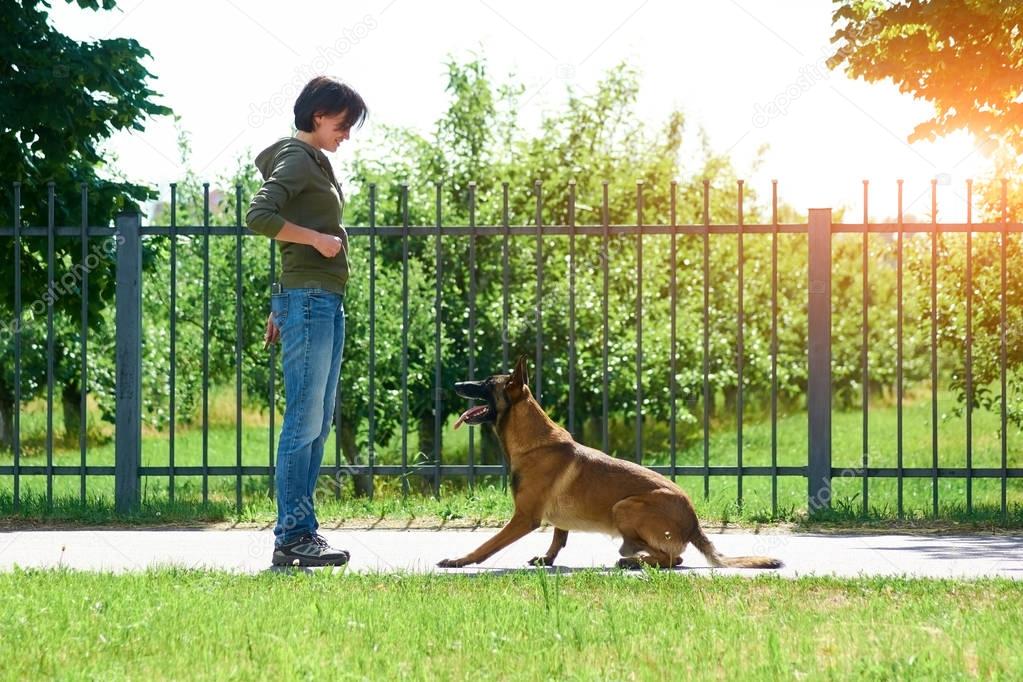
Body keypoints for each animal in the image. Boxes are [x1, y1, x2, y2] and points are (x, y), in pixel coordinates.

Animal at [437, 355, 781, 572]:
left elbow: (488, 544)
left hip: (625, 506)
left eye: (485, 383)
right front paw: (548, 559)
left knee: (673, 559)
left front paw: (459, 560)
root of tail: (694, 521)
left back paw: (632, 561)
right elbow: (559, 536)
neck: (532, 440)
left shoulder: (524, 518)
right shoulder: (551, 520)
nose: (454, 384)